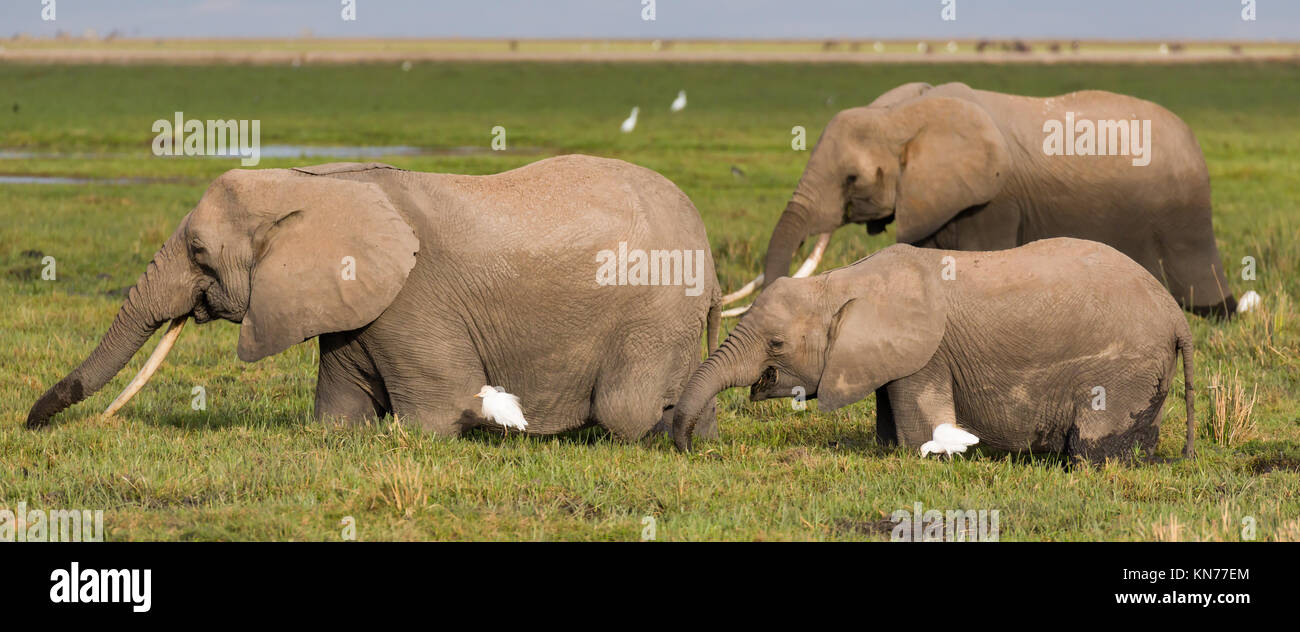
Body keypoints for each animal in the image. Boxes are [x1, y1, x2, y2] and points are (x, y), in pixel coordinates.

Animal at [27, 155, 722, 439]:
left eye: (199, 253)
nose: (34, 423)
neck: (312, 183)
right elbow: (338, 415)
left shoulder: (415, 301)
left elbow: (433, 418)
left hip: (657, 312)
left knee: (626, 408)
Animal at [681, 239, 1196, 462]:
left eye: (777, 343)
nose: (690, 446)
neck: (843, 280)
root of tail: (1177, 317)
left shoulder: (927, 355)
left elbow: (921, 435)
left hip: (1122, 369)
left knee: (1091, 453)